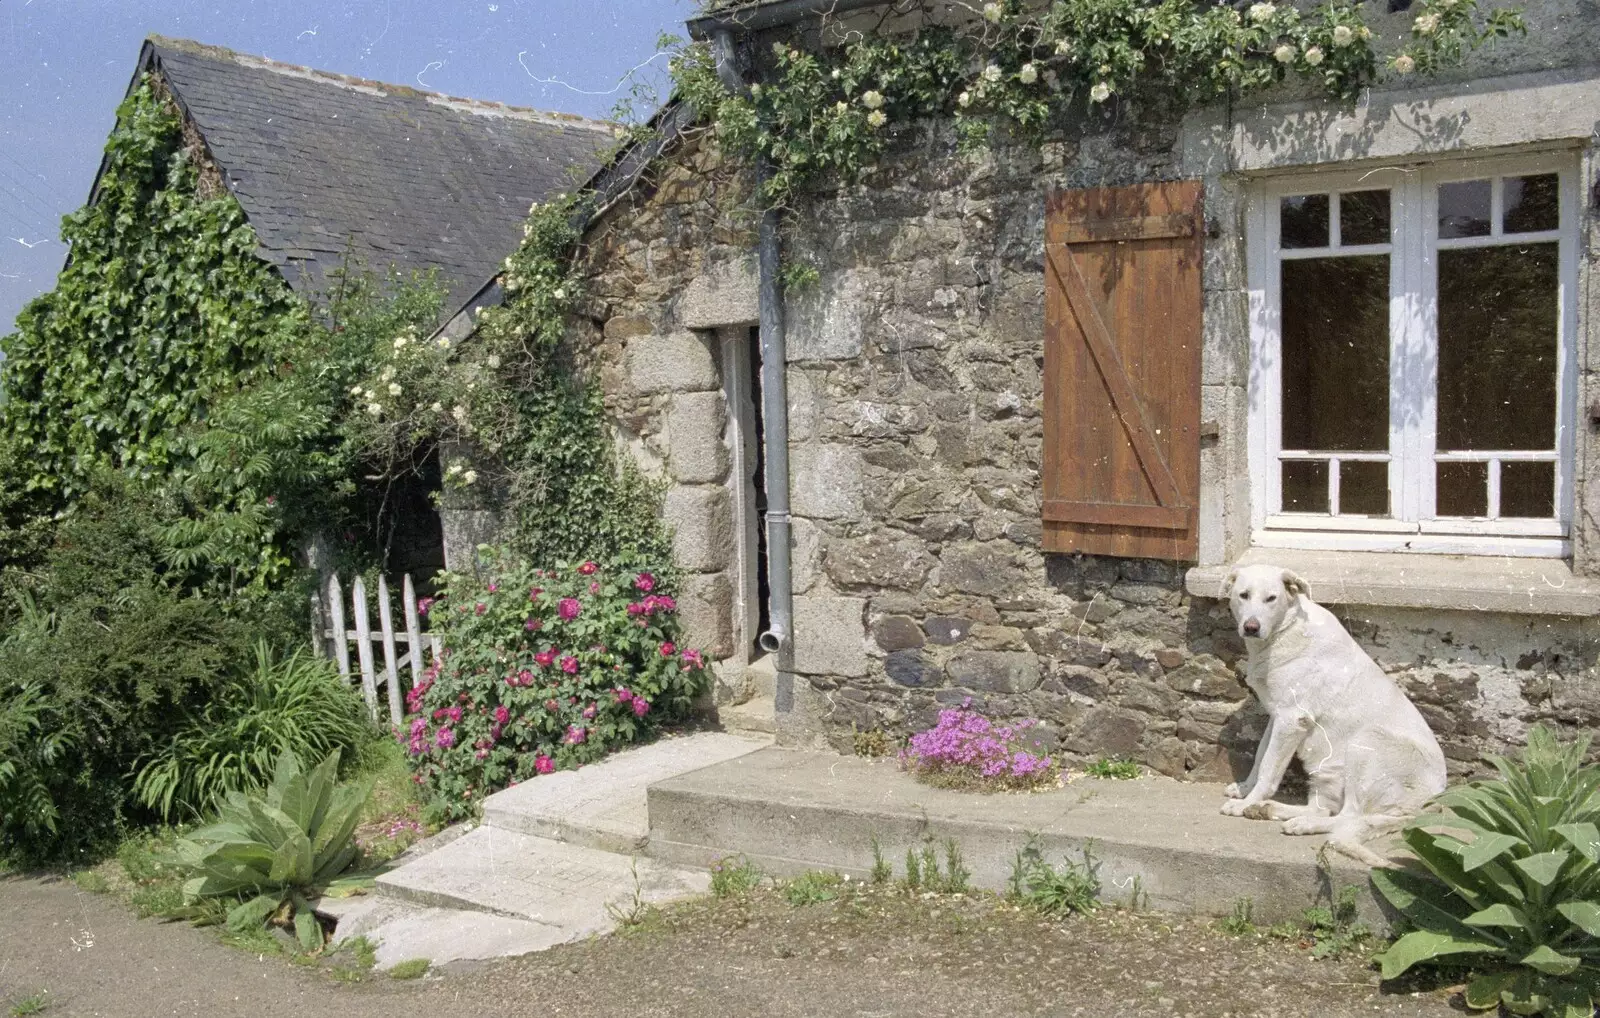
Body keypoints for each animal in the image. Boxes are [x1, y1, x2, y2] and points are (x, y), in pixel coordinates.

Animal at [1216, 563, 1446, 864]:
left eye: (1271, 599)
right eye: (1243, 595)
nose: (1251, 627)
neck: (1285, 630)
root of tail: (1433, 801)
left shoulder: (1291, 719)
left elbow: (1268, 769)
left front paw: (1246, 802)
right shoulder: (1277, 717)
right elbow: (1259, 758)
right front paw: (1245, 791)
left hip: (1366, 743)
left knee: (1348, 817)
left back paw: (1298, 822)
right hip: (1327, 774)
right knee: (1326, 810)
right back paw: (1273, 810)